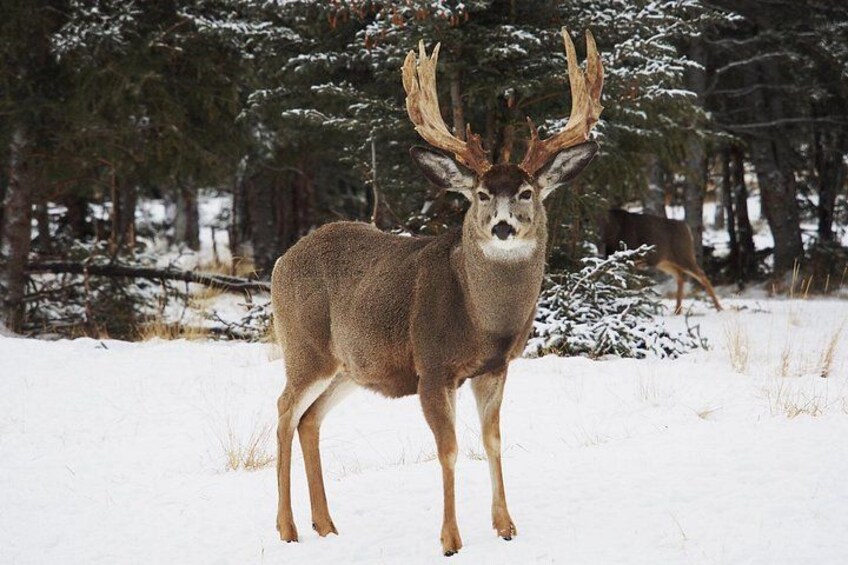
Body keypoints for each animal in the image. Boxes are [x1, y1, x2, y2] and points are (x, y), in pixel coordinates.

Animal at [271, 29, 603, 556]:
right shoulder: (432, 367)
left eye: (527, 192)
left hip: (349, 367)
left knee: (310, 421)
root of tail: (281, 260)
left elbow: (492, 441)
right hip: (304, 348)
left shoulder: (495, 369)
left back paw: (326, 525)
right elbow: (447, 449)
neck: (483, 319)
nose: (504, 227)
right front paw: (450, 538)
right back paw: (287, 529)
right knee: (284, 412)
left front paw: (506, 526)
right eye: (481, 194)